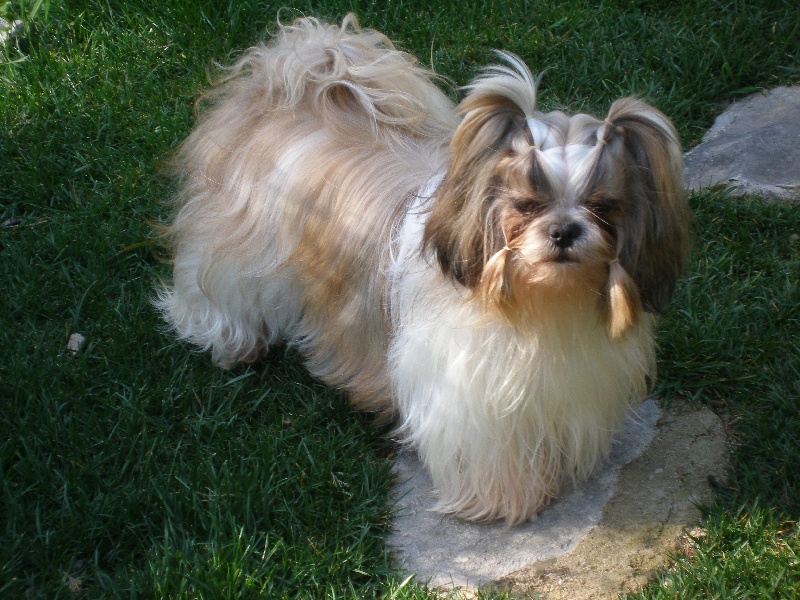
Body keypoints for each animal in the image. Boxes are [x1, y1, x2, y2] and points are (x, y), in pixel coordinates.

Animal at [156, 14, 688, 524]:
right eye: (526, 204)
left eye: (602, 207)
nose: (564, 231)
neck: (540, 301)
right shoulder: (465, 394)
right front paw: (507, 500)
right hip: (231, 253)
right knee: (217, 293)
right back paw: (232, 342)